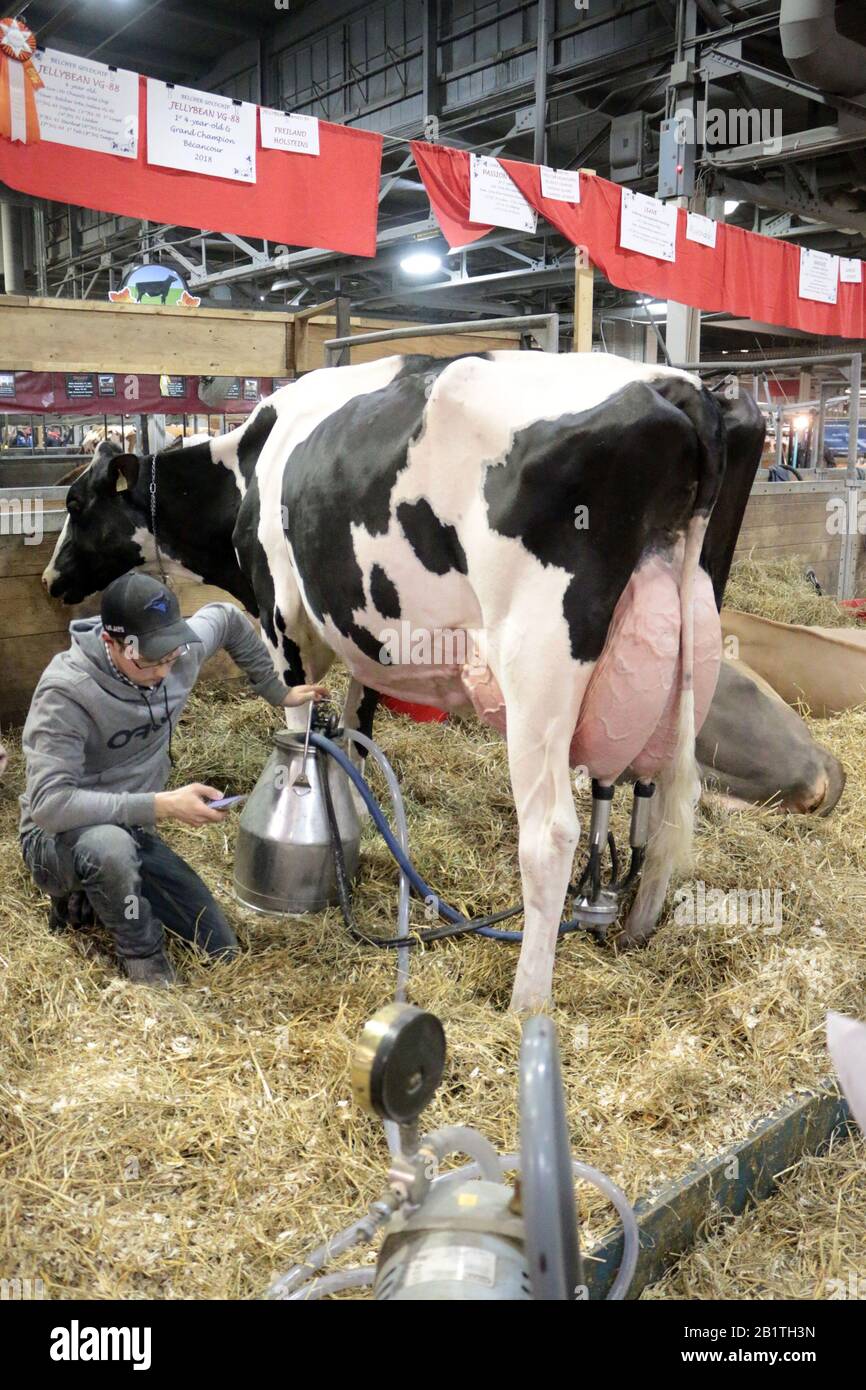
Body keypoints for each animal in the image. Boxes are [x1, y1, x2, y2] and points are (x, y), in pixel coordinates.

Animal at [42, 350, 767, 1011]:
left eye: (76, 501)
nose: (50, 579)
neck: (250, 463)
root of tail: (670, 384)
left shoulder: (283, 621)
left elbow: (302, 731)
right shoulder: (369, 642)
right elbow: (356, 734)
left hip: (538, 659)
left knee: (551, 834)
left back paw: (527, 999)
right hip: (689, 643)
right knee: (666, 796)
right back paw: (635, 924)